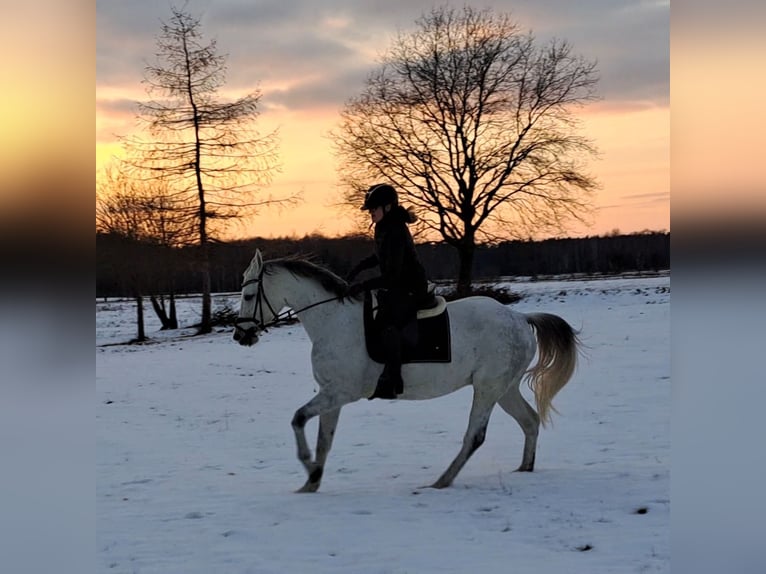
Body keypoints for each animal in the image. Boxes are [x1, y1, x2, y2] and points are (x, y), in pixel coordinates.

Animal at [233, 250, 580, 493]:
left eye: (249, 295)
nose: (240, 335)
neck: (332, 320)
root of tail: (521, 318)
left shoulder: (341, 392)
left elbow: (298, 418)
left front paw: (308, 468)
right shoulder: (332, 395)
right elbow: (323, 440)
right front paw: (311, 481)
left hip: (487, 389)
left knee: (475, 436)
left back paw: (441, 481)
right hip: (504, 388)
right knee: (530, 421)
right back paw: (524, 469)